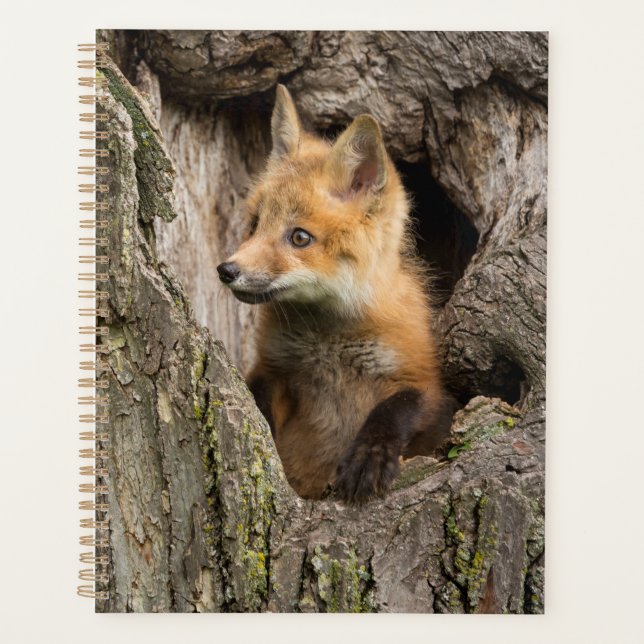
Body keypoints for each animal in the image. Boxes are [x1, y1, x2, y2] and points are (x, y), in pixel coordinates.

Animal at [217, 84, 454, 504]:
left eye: (299, 237)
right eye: (255, 224)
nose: (227, 271)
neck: (328, 344)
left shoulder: (425, 381)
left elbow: (397, 407)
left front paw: (369, 456)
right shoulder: (274, 370)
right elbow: (259, 404)